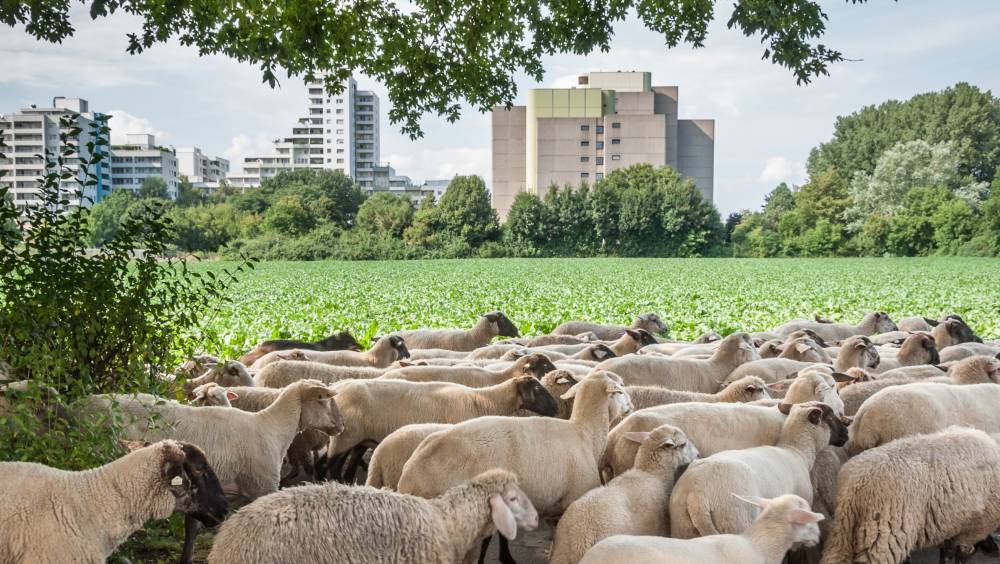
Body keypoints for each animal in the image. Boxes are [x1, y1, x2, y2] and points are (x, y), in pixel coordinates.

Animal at [548, 424, 699, 564]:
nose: (698, 454)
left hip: (559, 555)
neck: (651, 474)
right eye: (683, 444)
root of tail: (579, 539)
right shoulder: (657, 528)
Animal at [669, 402, 847, 538]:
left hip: (683, 528)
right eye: (831, 417)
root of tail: (696, 497)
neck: (796, 451)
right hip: (735, 520)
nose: (846, 433)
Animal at [821, 426, 1000, 564]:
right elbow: (961, 555)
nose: (994, 551)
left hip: (842, 531)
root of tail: (855, 485)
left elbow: (946, 553)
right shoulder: (976, 527)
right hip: (882, 536)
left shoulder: (952, 523)